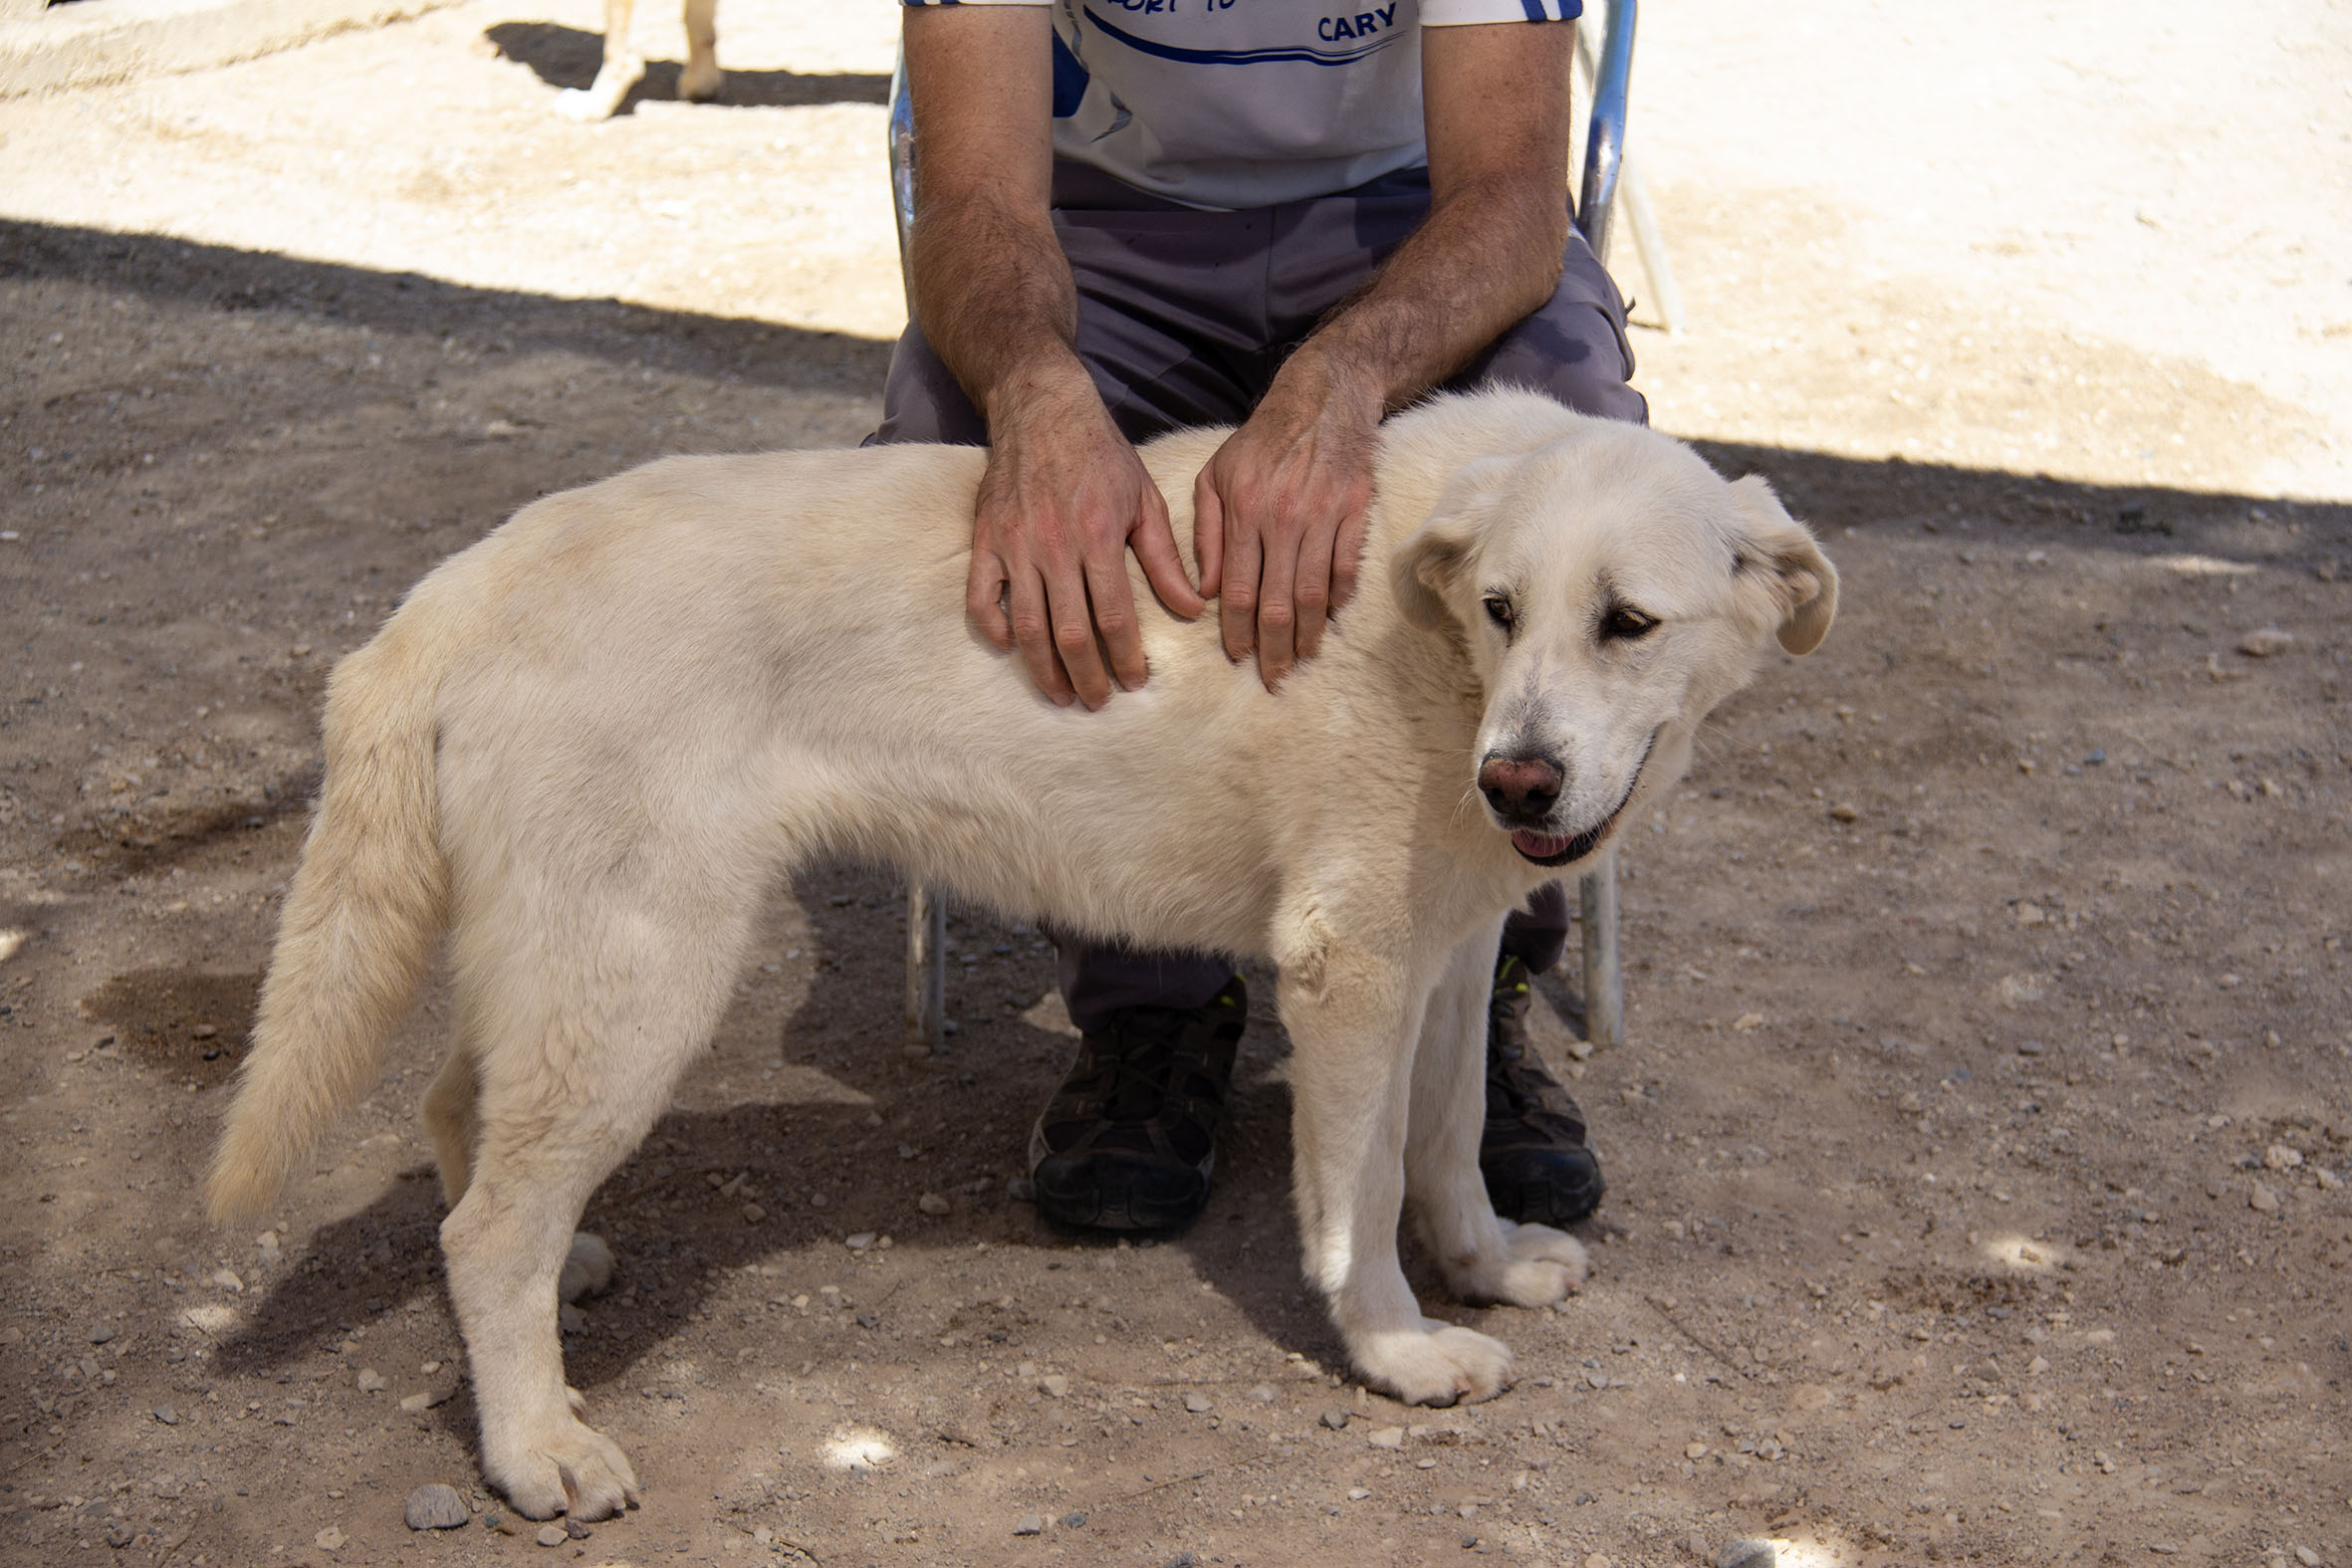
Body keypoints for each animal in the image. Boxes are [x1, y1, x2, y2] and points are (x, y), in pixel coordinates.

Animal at [205, 388, 1836, 1521]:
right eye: (1505, 609)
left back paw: (563, 1286)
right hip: (639, 975)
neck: (1430, 639)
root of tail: (450, 590)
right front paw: (1394, 1348)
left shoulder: (1446, 955)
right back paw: (535, 1444)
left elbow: (1448, 1146)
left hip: (566, 969)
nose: (1517, 783)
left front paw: (1485, 1268)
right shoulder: (1351, 970)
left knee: (459, 1125)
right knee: (485, 1227)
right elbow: (1361, 1198)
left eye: (1626, 623)